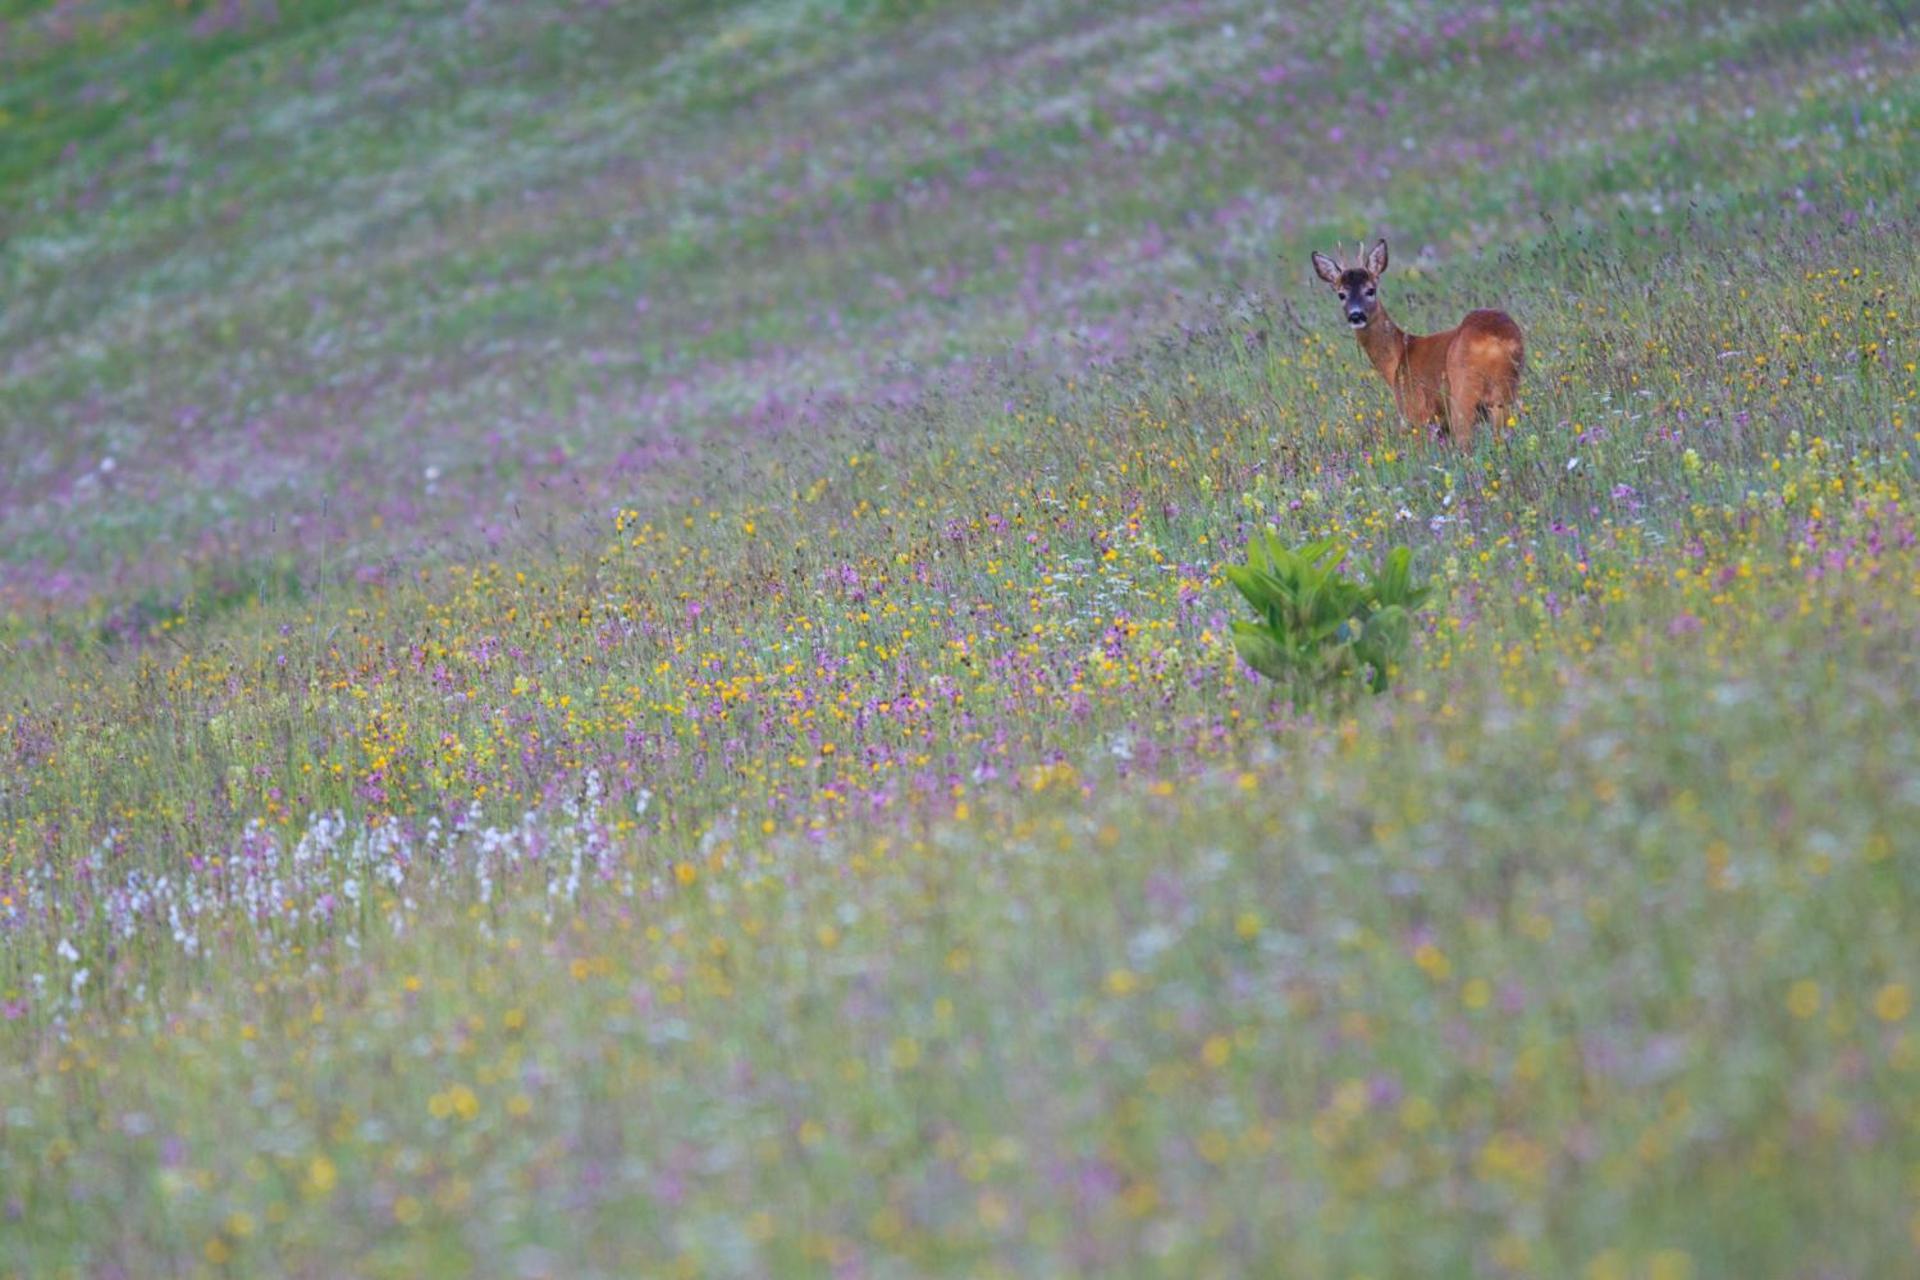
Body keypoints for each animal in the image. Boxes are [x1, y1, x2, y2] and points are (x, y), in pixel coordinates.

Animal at [1313, 238, 1520, 450]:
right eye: (1341, 294)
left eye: (1370, 290)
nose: (1356, 315)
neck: (1398, 355)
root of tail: (1495, 339)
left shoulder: (1416, 412)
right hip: (1505, 394)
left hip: (1463, 394)